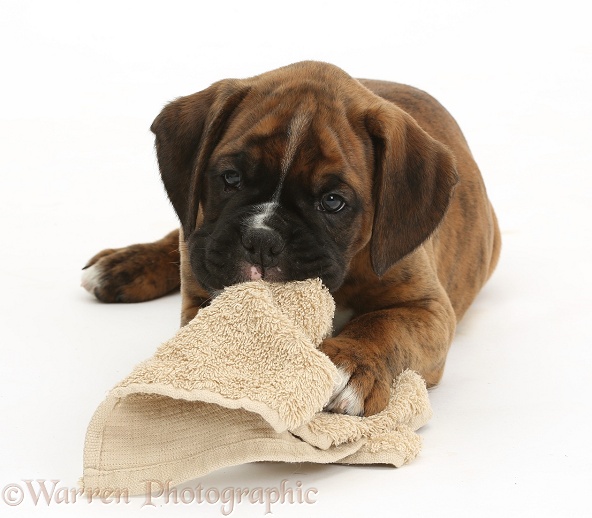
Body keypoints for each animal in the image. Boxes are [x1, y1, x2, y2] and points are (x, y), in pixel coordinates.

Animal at [82, 61, 500, 418]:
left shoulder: (427, 308)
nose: (261, 239)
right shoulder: (201, 288)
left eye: (333, 201)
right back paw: (125, 263)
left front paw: (348, 364)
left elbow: (384, 325)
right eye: (231, 178)